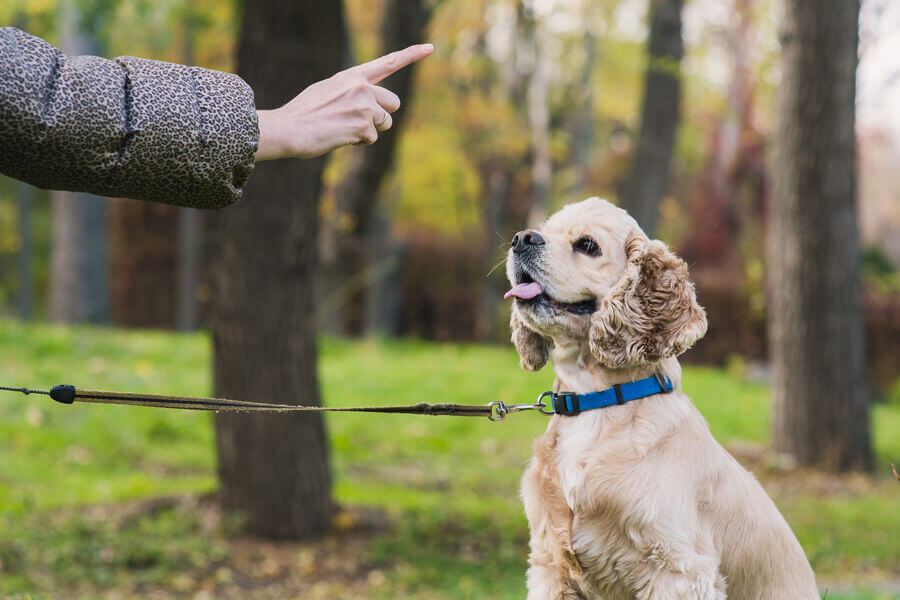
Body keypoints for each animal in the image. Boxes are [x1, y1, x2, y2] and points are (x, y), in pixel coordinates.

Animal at [502, 198, 820, 600]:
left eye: (587, 245)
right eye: (545, 229)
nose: (521, 238)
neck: (594, 403)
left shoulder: (678, 569)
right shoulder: (549, 563)